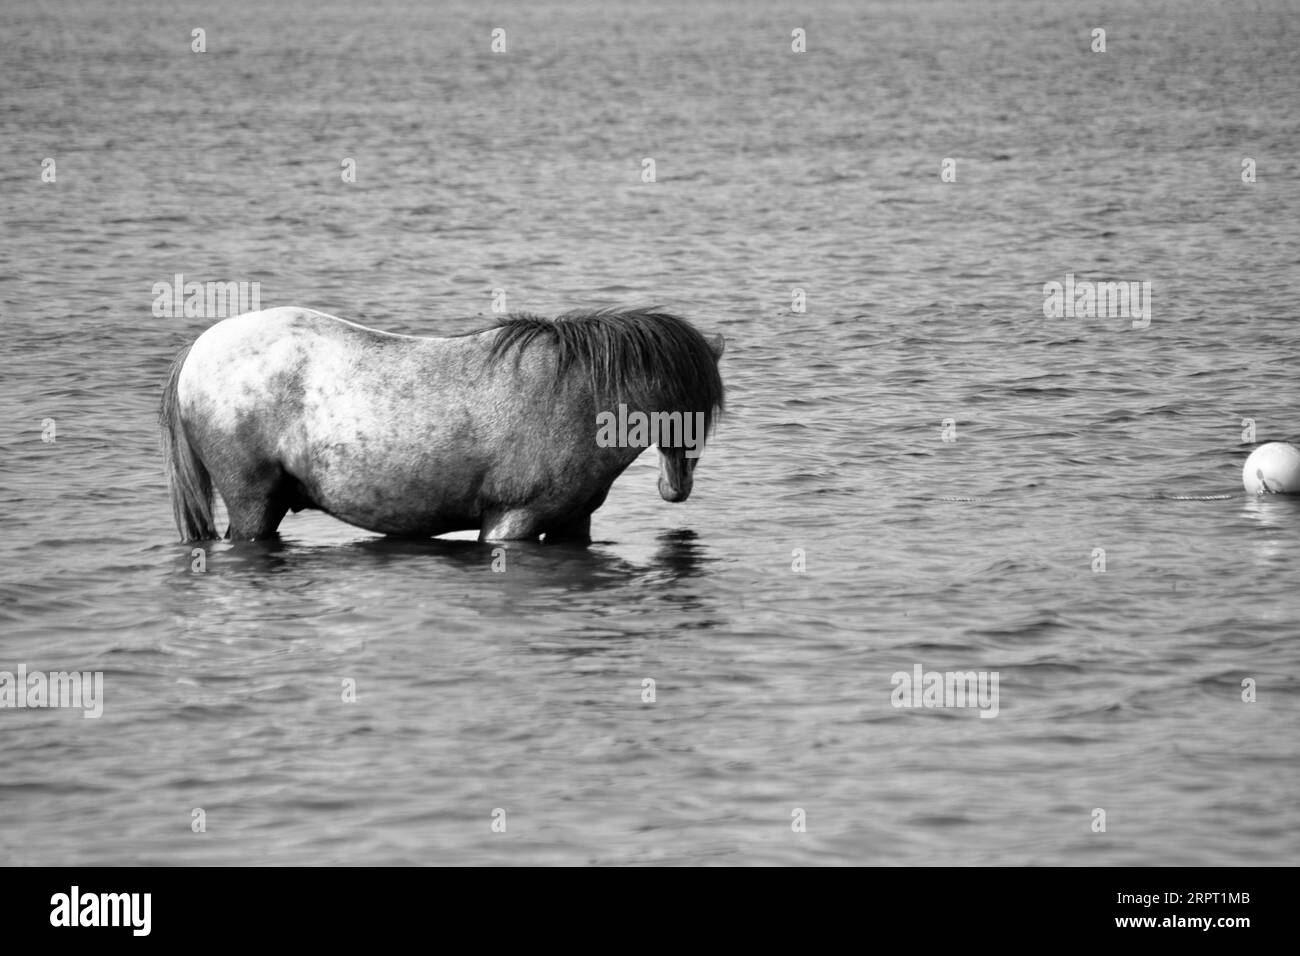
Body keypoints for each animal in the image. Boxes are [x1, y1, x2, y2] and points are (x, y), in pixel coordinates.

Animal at [159, 306, 725, 543]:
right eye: (676, 407)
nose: (676, 488)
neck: (576, 398)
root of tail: (199, 347)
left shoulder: (571, 524)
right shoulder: (511, 521)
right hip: (252, 501)